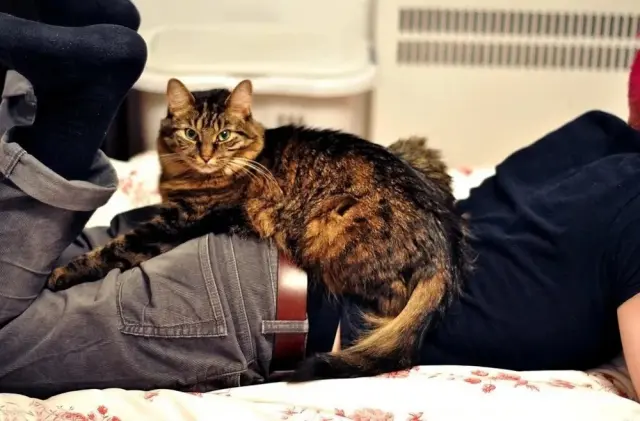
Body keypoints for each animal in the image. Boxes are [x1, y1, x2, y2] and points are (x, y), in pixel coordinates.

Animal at [47, 78, 471, 381]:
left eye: (224, 135)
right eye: (189, 133)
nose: (206, 155)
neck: (183, 177)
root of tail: (445, 254)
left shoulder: (176, 222)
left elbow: (115, 248)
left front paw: (63, 272)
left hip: (329, 235)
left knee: (388, 306)